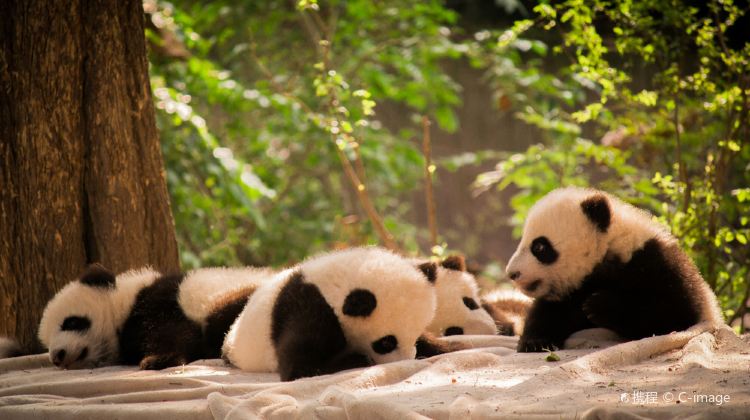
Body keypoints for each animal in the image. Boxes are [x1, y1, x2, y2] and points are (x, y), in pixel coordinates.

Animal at [38, 264, 273, 369]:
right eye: (46, 343)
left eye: (71, 322)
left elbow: (171, 331)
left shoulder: (160, 301)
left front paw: (159, 359)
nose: (57, 356)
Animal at [222, 247, 439, 381]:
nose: (405, 361)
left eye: (414, 338)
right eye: (386, 343)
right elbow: (300, 369)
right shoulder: (309, 307)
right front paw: (357, 359)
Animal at [505, 187, 724, 352]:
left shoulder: (658, 265)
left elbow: (675, 314)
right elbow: (550, 311)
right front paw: (535, 342)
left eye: (539, 247)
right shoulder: (572, 288)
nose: (512, 273)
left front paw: (598, 305)